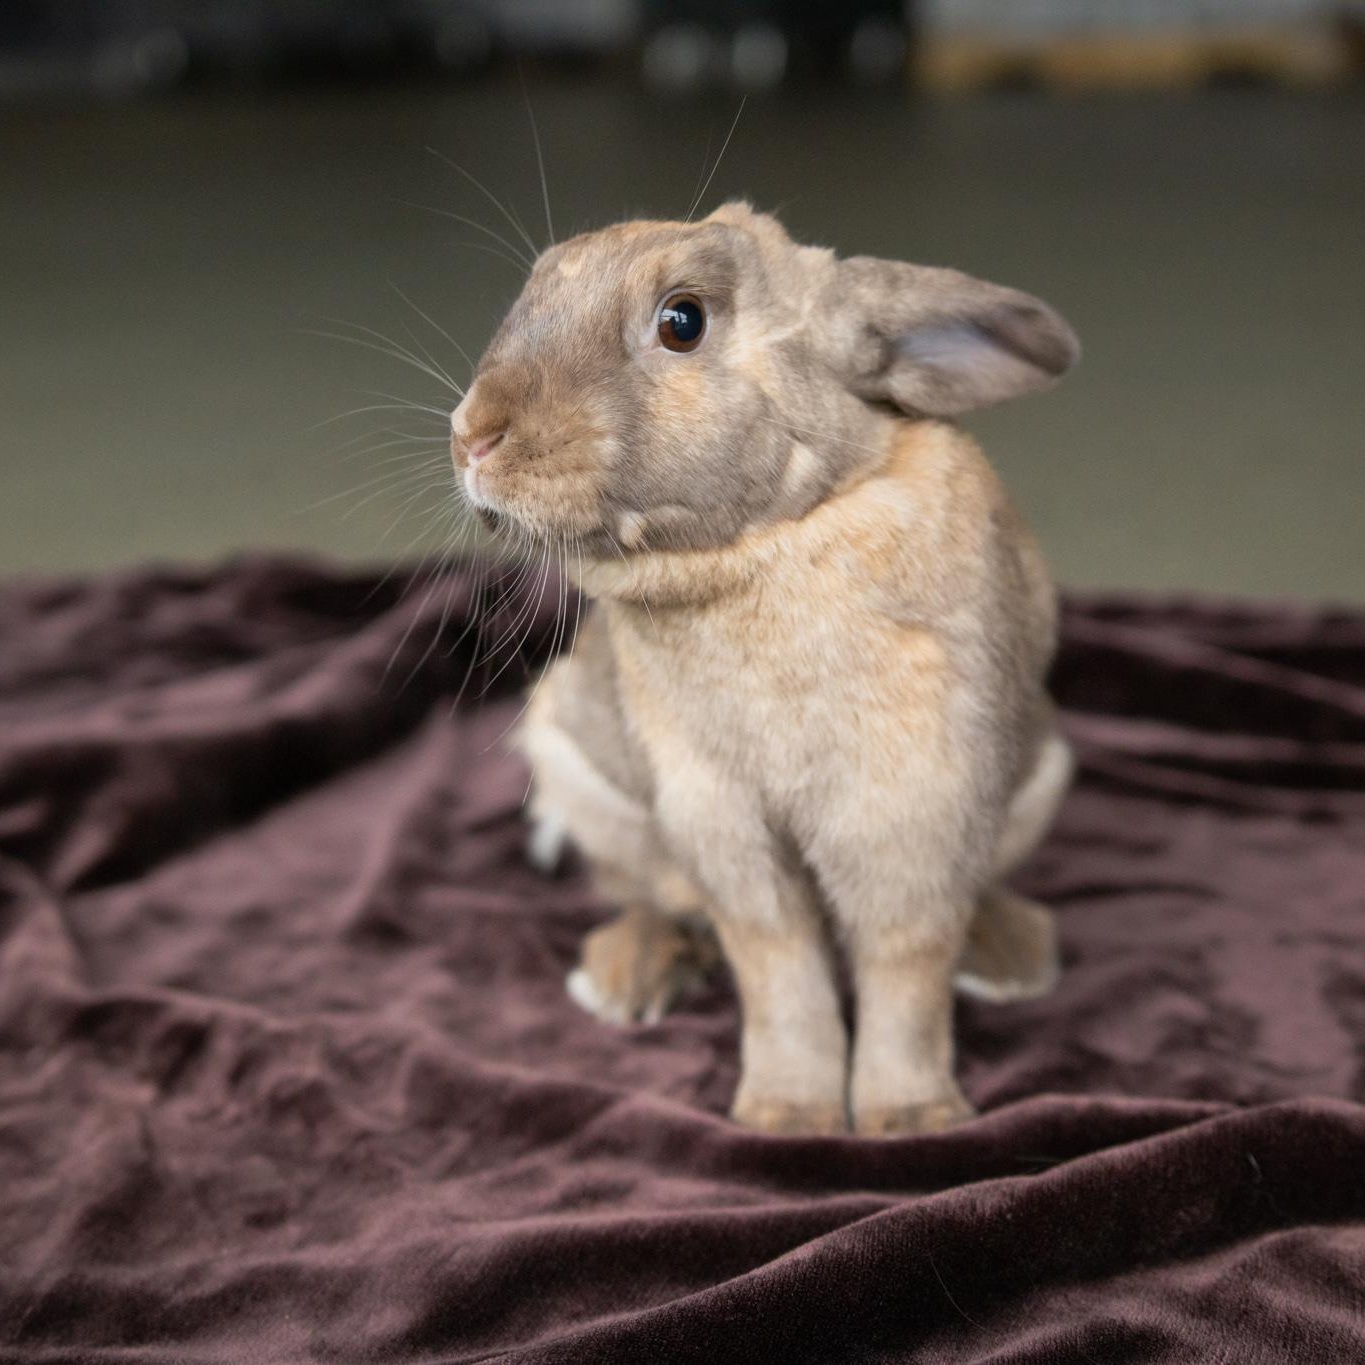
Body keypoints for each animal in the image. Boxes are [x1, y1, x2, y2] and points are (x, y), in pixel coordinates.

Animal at [450, 201, 1078, 1136]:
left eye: (682, 321)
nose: (471, 435)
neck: (773, 536)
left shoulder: (916, 808)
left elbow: (906, 970)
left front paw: (912, 1118)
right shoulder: (720, 818)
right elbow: (778, 967)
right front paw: (787, 1116)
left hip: (1038, 782)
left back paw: (1006, 957)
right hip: (585, 779)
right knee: (647, 895)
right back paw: (626, 976)